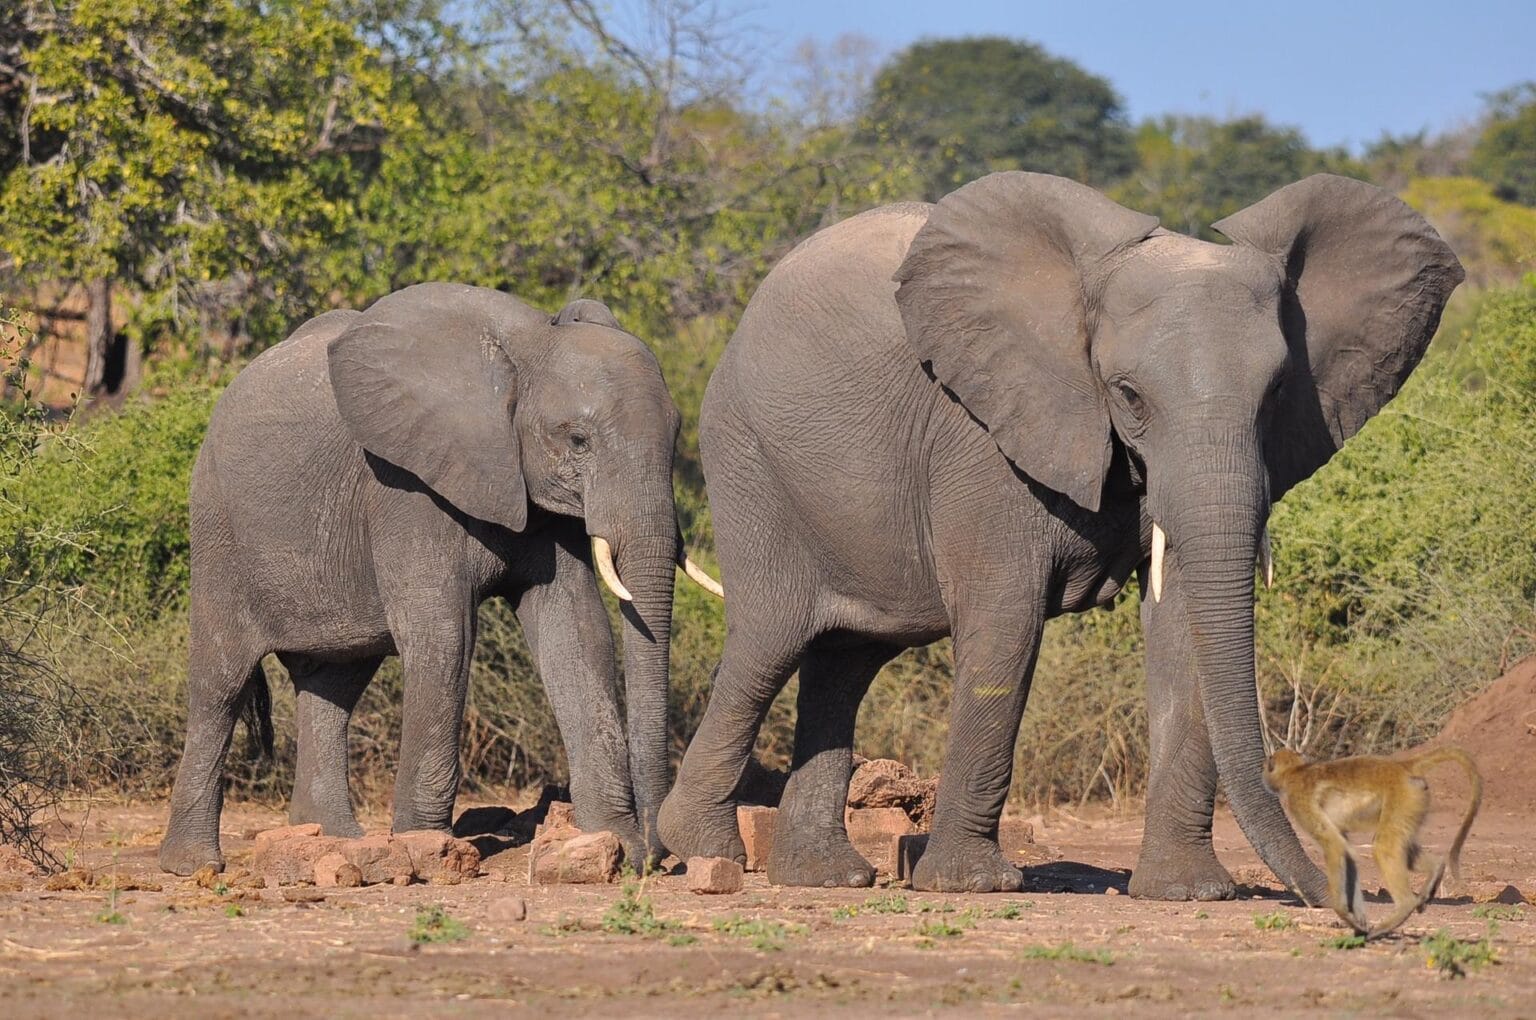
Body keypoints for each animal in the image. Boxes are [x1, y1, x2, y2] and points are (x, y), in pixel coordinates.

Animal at [159, 282, 721, 875]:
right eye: (578, 440)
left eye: (678, 434)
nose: (660, 858)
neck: (526, 347)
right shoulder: (405, 485)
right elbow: (443, 634)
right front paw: (424, 851)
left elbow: (576, 631)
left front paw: (615, 846)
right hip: (218, 528)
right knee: (221, 683)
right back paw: (194, 864)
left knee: (332, 684)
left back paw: (334, 842)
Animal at [657, 173, 1462, 897]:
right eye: (1128, 395)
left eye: (1276, 395)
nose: (1348, 896)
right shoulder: (982, 436)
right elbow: (1004, 626)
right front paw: (971, 885)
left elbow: (1181, 629)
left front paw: (1188, 893)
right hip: (749, 464)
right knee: (771, 639)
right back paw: (702, 851)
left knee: (846, 660)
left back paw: (824, 878)